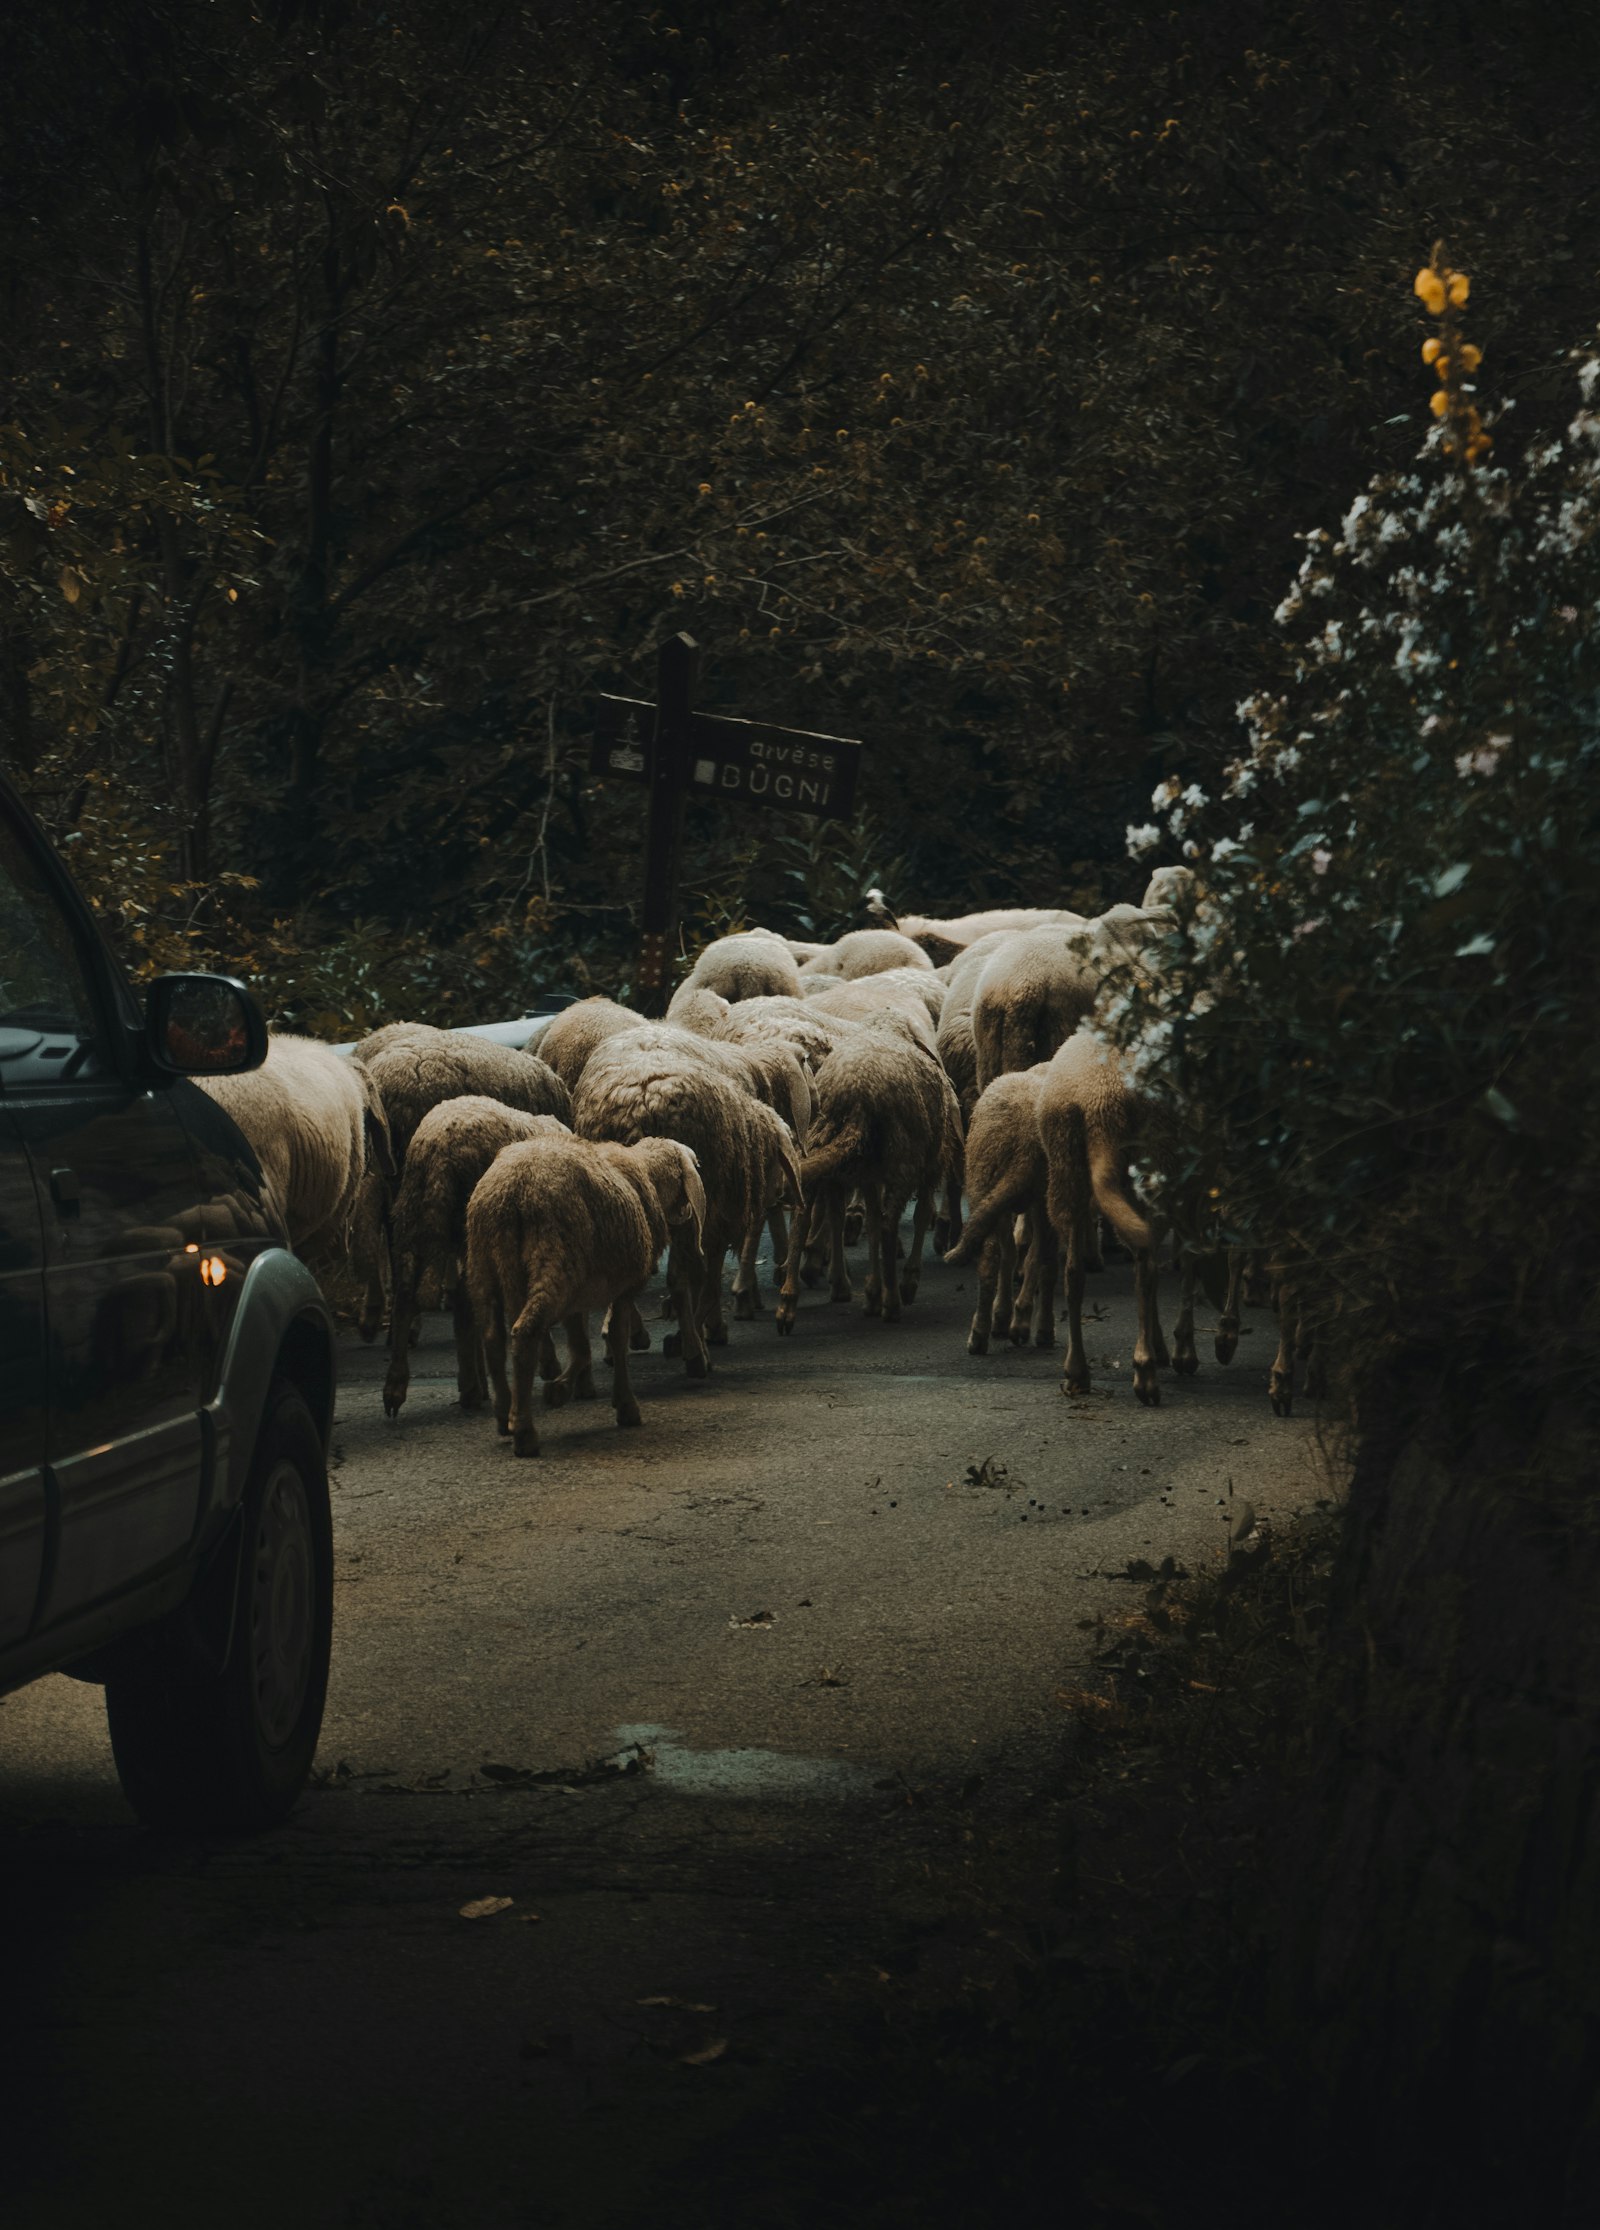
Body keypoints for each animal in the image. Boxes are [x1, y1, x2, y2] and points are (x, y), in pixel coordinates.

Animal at [377, 1106, 571, 1418]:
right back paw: (471, 1388)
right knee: (464, 1304)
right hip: (468, 1223)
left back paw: (396, 1387)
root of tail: (439, 1152)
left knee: (406, 1296)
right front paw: (549, 1364)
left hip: (411, 1212)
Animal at [464, 1123, 709, 1453]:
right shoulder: (623, 1287)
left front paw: (560, 1389)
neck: (648, 1178)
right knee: (526, 1332)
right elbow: (617, 1337)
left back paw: (504, 1416)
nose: (686, 1216)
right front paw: (625, 1405)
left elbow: (581, 1346)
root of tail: (514, 1188)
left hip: (485, 1264)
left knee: (493, 1338)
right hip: (555, 1259)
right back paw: (524, 1432)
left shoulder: (577, 1297)